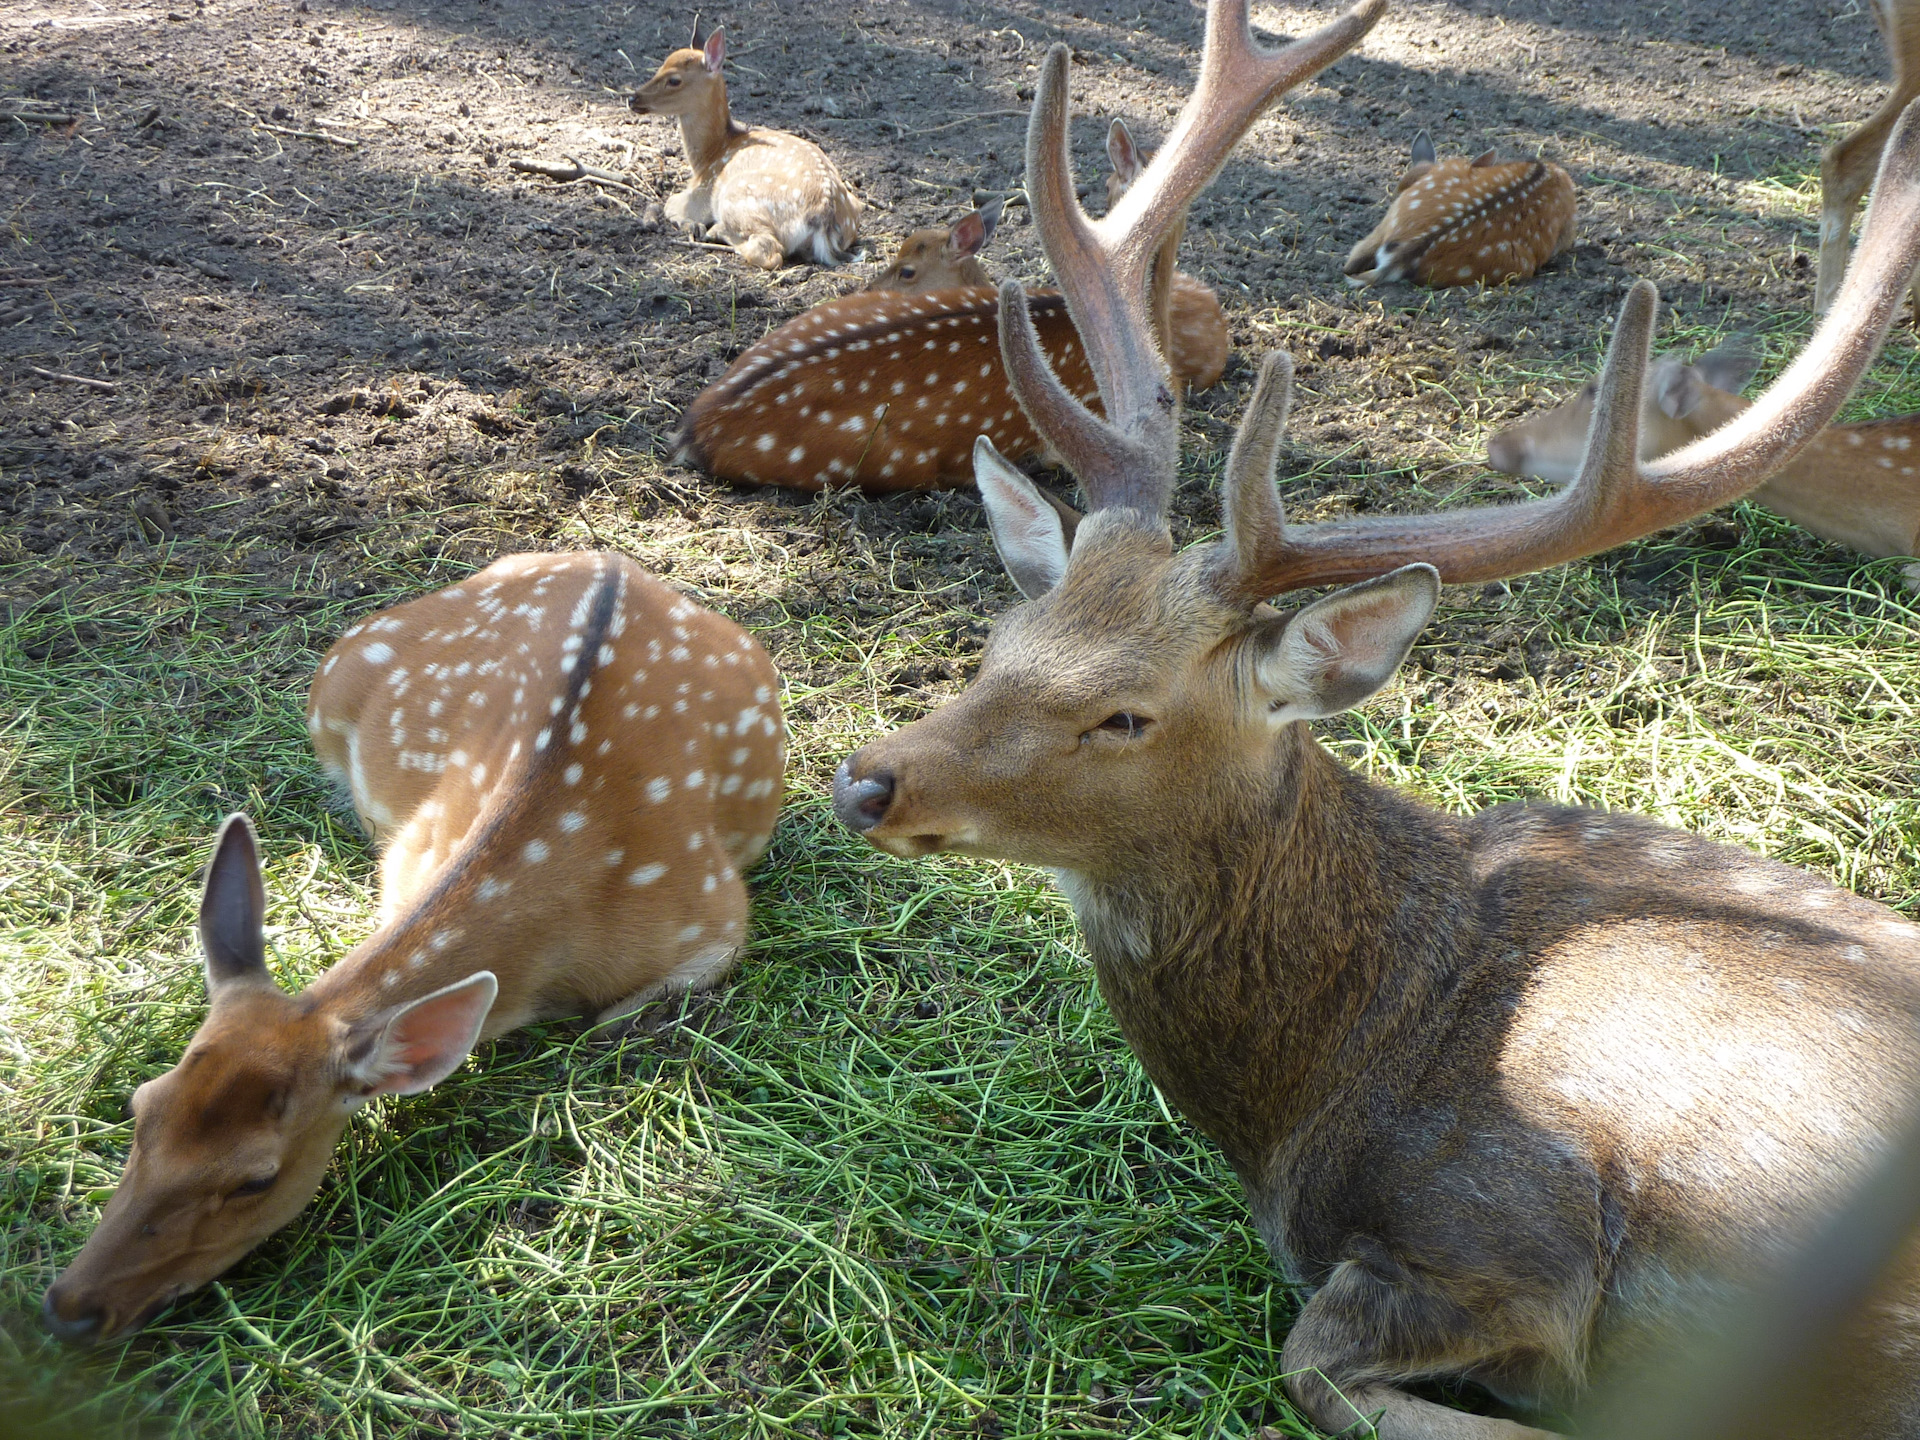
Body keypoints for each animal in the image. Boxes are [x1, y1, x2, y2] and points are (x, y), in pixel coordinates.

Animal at [43, 556, 787, 1351]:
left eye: (256, 1178)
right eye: (141, 1106)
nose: (68, 1307)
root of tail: (607, 561)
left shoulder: (715, 914)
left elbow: (619, 1015)